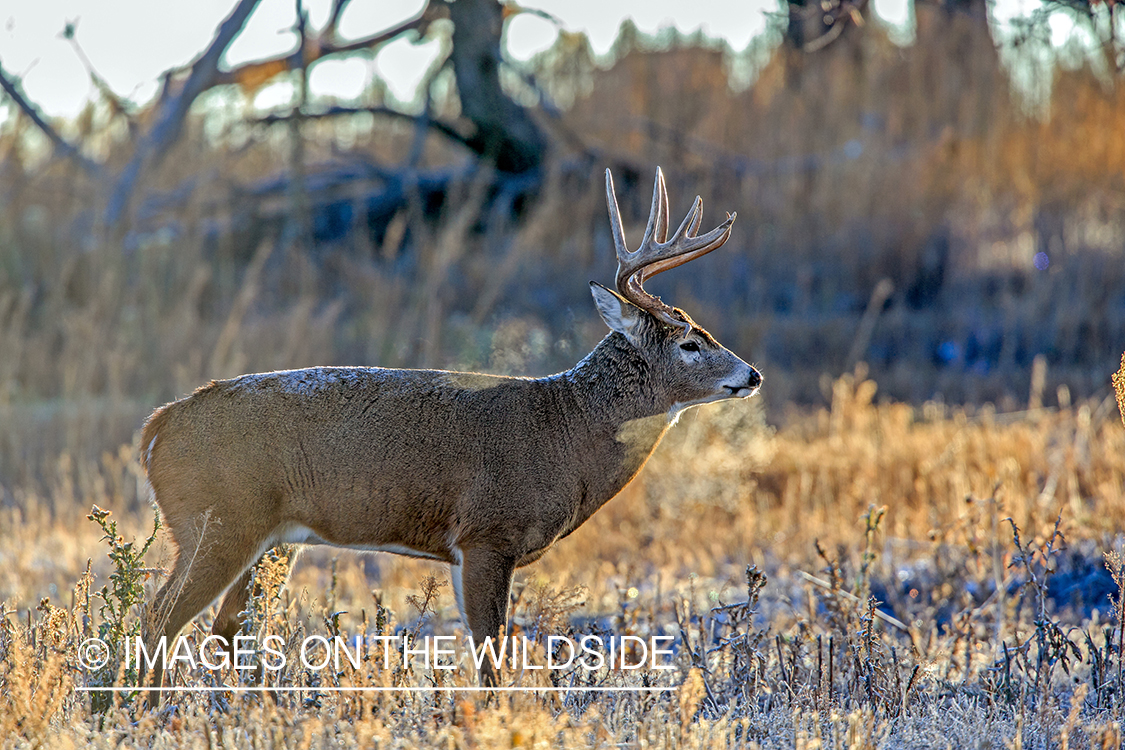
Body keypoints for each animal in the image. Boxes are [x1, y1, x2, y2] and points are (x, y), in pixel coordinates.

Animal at [138, 167, 756, 697]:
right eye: (690, 343)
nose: (752, 374)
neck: (566, 426)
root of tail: (156, 428)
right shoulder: (487, 533)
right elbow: (491, 654)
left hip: (269, 538)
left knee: (223, 627)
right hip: (218, 520)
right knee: (159, 616)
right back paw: (145, 711)